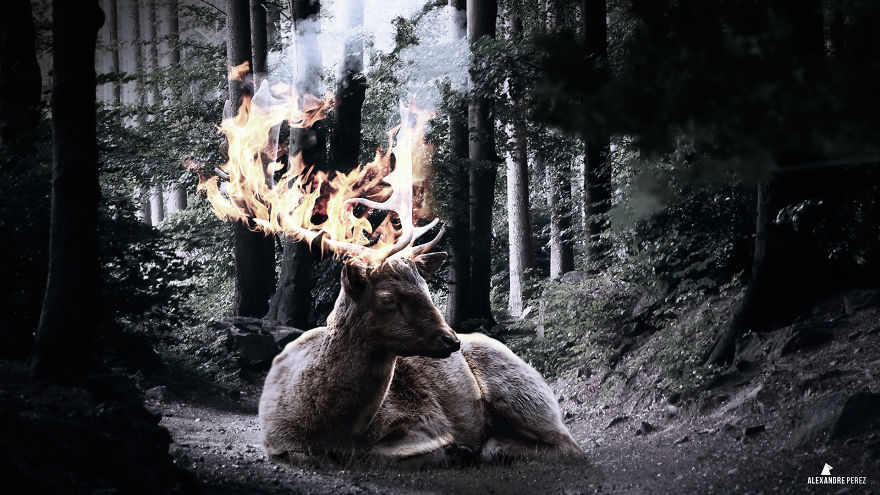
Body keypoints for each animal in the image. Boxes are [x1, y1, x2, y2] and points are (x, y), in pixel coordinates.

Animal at [258, 229, 582, 465]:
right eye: (387, 298)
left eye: (426, 289)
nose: (451, 339)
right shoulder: (275, 441)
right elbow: (308, 457)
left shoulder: (426, 417)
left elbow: (374, 454)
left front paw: (454, 450)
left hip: (520, 393)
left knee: (569, 445)